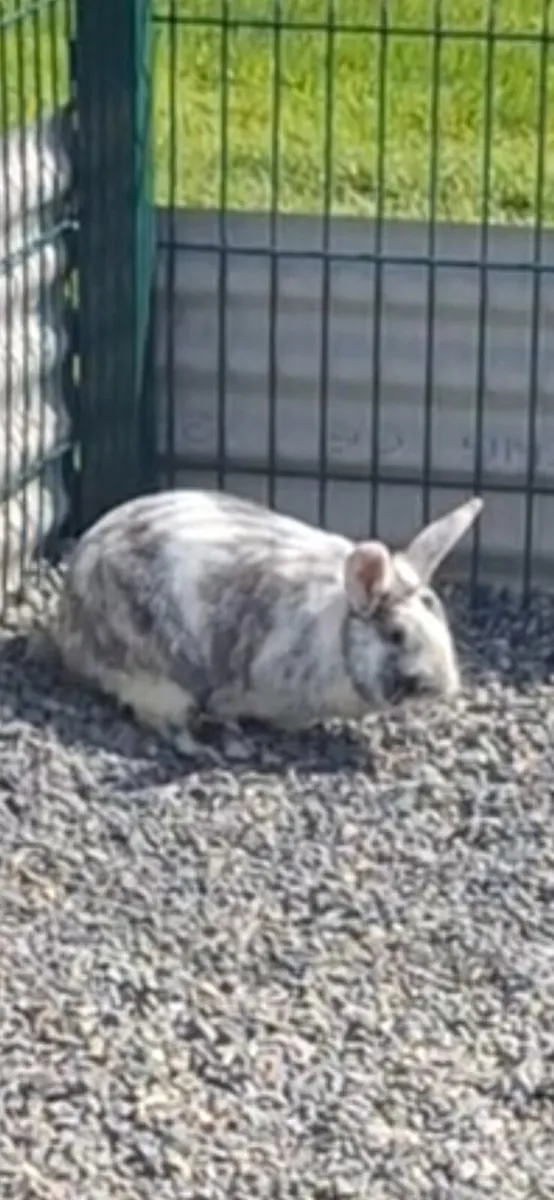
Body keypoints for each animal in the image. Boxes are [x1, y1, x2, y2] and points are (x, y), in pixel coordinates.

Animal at [51, 488, 483, 760]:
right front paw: (237, 742)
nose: (443, 687)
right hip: (157, 678)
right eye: (395, 634)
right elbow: (224, 714)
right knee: (164, 722)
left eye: (439, 618)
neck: (335, 638)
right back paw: (203, 750)